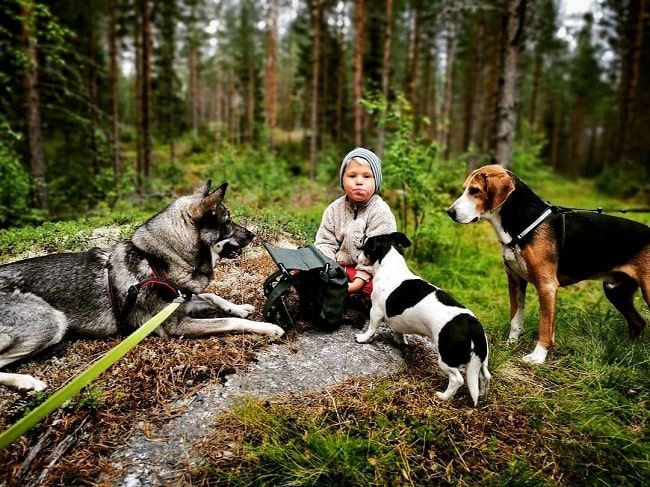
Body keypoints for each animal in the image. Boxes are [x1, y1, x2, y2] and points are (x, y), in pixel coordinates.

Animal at [0, 183, 284, 392]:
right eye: (227, 222)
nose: (253, 235)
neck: (158, 261)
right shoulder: (175, 326)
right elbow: (229, 321)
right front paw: (266, 327)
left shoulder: (180, 302)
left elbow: (212, 295)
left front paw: (239, 307)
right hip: (51, 321)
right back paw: (25, 381)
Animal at [356, 233, 488, 408]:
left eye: (365, 248)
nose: (356, 257)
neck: (391, 266)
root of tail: (472, 325)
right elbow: (398, 330)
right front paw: (399, 340)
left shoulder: (376, 310)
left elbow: (371, 327)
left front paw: (363, 338)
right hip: (482, 360)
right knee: (485, 376)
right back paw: (483, 394)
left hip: (446, 358)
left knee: (457, 379)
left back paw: (443, 396)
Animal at [446, 166, 648, 364]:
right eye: (465, 189)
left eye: (475, 191)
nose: (450, 212)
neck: (524, 223)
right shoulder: (515, 281)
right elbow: (516, 319)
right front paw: (510, 344)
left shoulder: (547, 286)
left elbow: (544, 326)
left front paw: (538, 356)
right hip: (616, 292)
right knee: (639, 323)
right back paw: (629, 352)